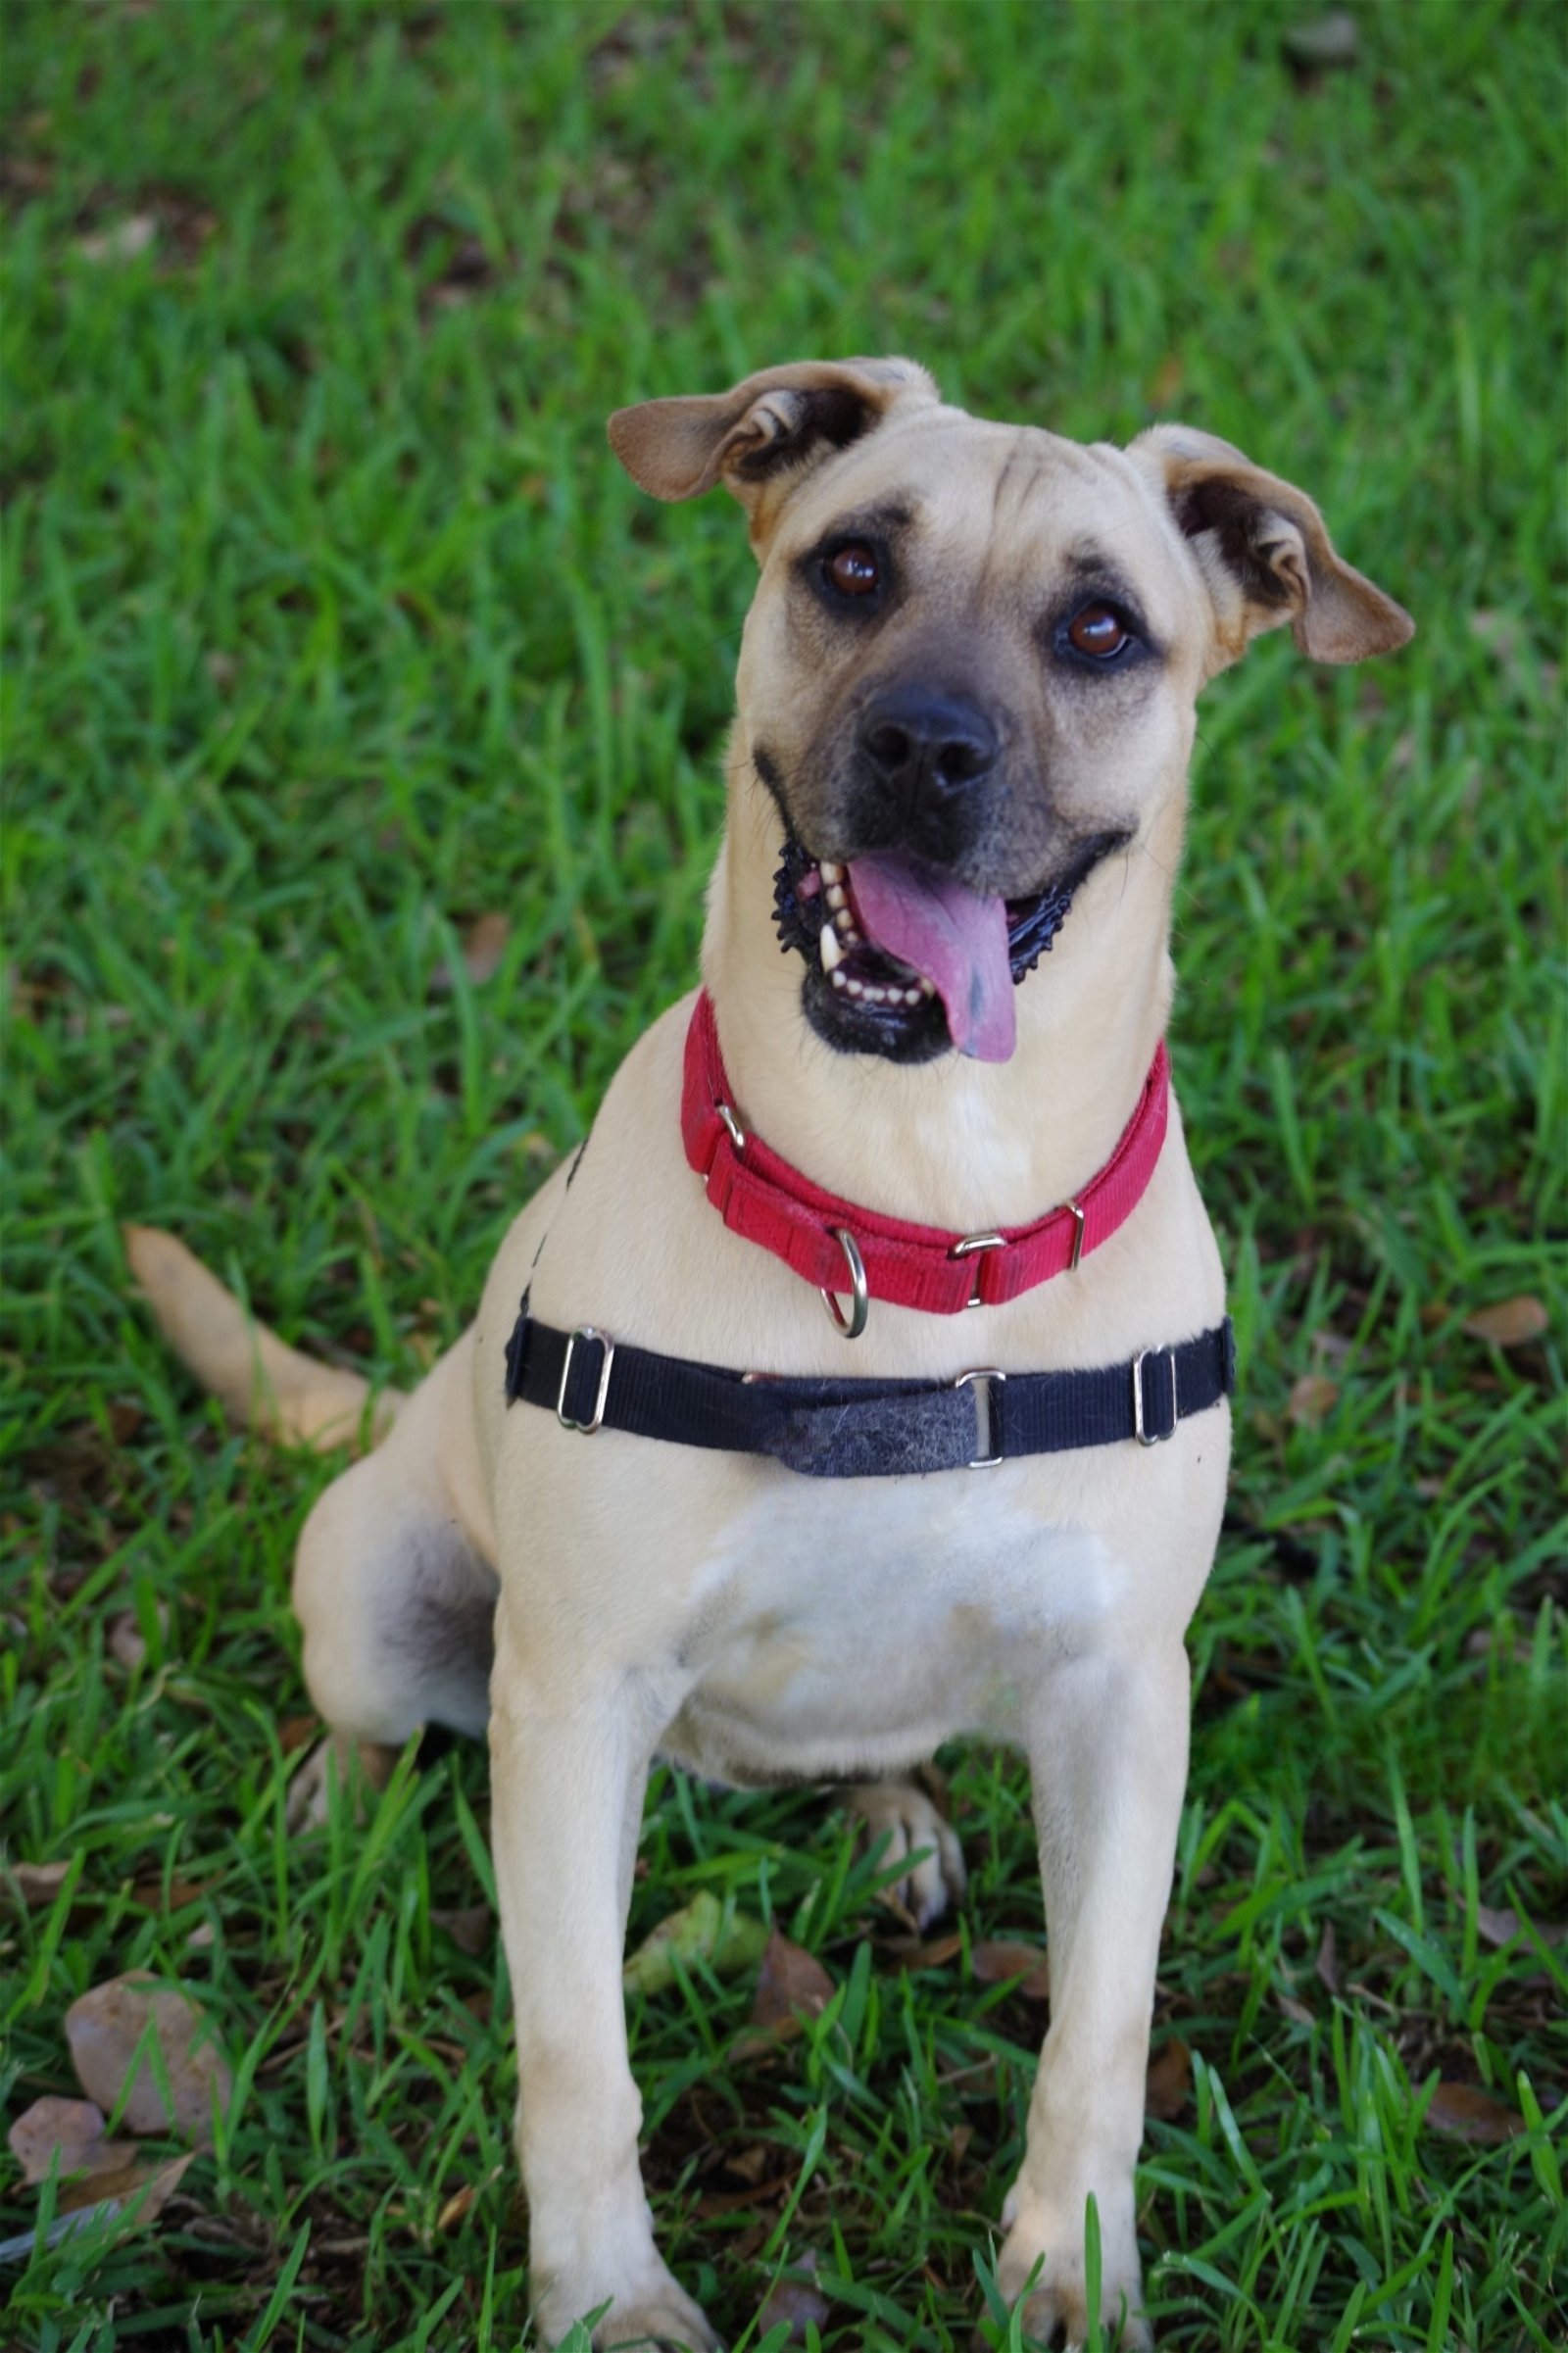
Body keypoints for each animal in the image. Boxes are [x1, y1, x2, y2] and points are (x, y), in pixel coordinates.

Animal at [127, 357, 1412, 2343]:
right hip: (382, 1581)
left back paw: (889, 1822)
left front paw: (1070, 2267)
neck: (909, 1223)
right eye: (855, 565)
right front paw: (605, 2299)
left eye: (1102, 626)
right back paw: (331, 1807)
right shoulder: (573, 1698)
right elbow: (576, 2052)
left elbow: (1099, 2034)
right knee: (371, 1710)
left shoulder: (1127, 1697)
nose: (929, 749)